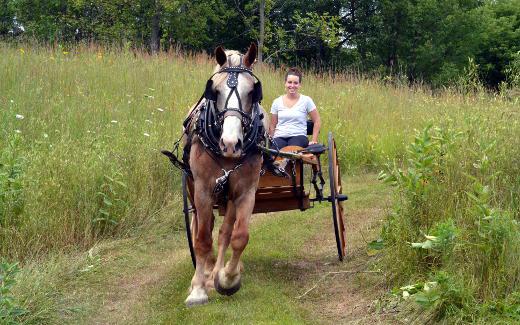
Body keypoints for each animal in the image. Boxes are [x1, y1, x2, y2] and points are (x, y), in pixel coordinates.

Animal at [180, 43, 268, 306]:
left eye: (252, 92)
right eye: (215, 91)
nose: (230, 143)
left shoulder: (246, 191)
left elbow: (239, 236)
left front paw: (227, 278)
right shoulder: (202, 189)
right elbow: (202, 239)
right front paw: (198, 289)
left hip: (229, 197)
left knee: (224, 233)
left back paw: (216, 273)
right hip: (193, 188)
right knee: (203, 227)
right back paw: (206, 272)